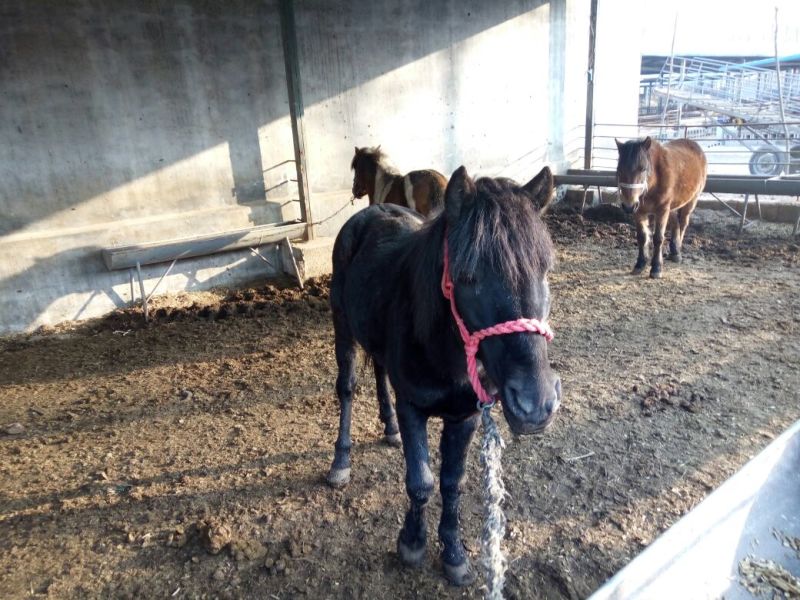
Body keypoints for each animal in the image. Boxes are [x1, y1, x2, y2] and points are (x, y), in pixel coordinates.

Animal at [327, 164, 561, 585]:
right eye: (468, 276)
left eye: (545, 270)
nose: (535, 405)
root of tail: (369, 212)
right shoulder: (413, 408)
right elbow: (421, 482)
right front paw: (412, 543)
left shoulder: (465, 417)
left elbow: (453, 484)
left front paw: (453, 552)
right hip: (342, 326)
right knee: (348, 388)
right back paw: (341, 462)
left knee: (380, 372)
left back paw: (389, 429)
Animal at [615, 136, 707, 278]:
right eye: (619, 170)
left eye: (643, 169)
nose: (628, 206)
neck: (654, 181)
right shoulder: (639, 211)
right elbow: (642, 237)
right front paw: (640, 264)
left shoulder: (662, 210)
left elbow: (658, 238)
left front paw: (656, 268)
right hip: (673, 206)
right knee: (676, 223)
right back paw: (674, 251)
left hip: (691, 201)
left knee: (683, 223)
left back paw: (678, 251)